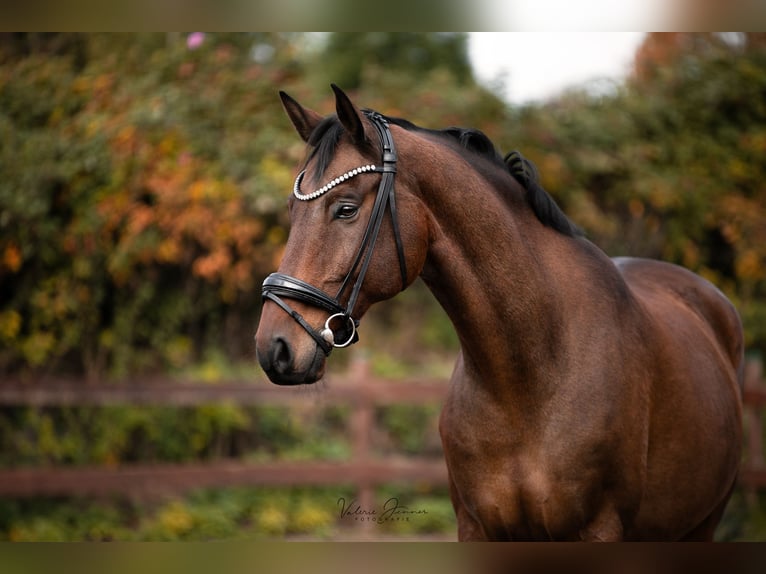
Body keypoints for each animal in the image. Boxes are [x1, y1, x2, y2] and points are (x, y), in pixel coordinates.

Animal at [255, 83, 748, 544]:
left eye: (346, 209)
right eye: (291, 210)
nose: (273, 348)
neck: (528, 379)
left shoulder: (600, 528)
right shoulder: (477, 526)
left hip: (703, 523)